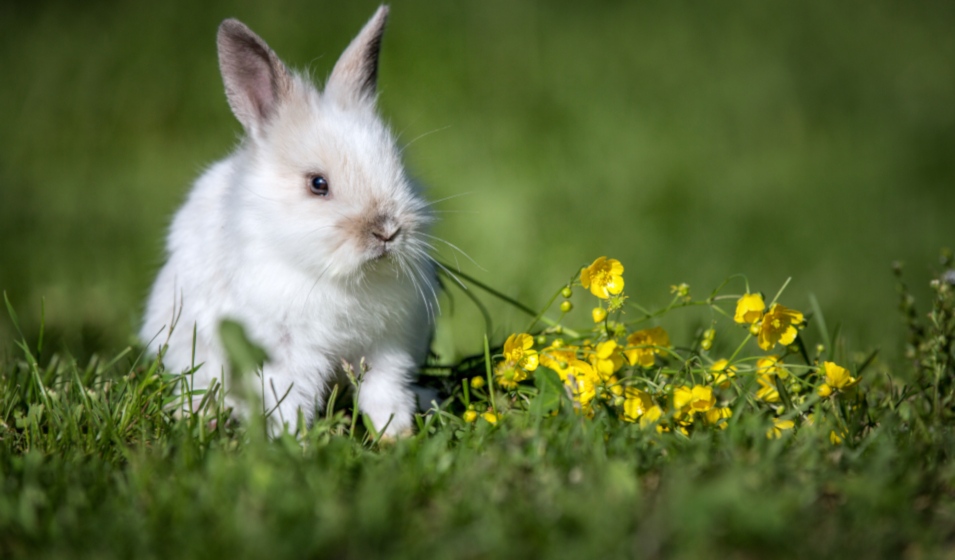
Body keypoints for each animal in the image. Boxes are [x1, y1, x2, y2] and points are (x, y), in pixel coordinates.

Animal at [140, 5, 438, 437]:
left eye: (398, 168)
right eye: (318, 184)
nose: (387, 231)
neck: (340, 279)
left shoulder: (388, 346)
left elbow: (385, 392)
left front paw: (395, 435)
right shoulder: (287, 351)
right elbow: (291, 399)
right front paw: (292, 440)